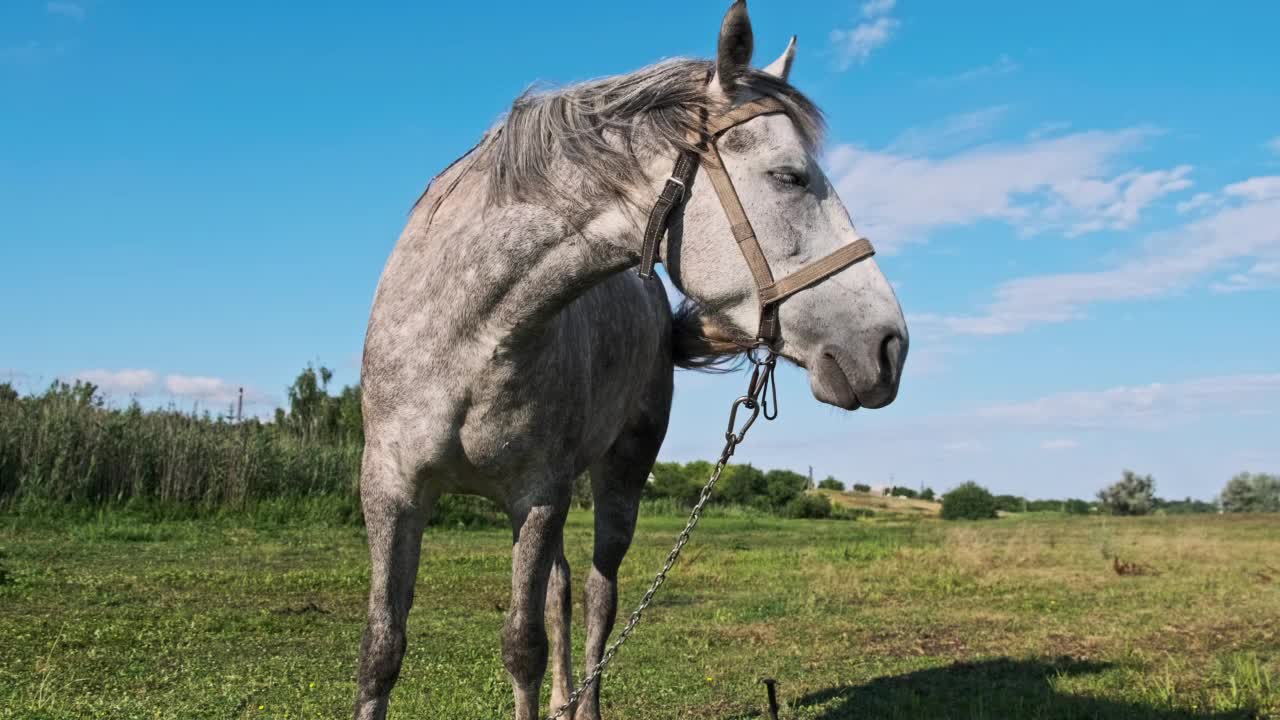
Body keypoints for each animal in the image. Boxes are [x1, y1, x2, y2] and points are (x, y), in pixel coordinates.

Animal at [355, 2, 906, 712]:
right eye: (789, 175)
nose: (888, 345)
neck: (471, 334)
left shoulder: (537, 496)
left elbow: (522, 647)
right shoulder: (391, 491)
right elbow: (382, 651)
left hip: (619, 475)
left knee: (599, 596)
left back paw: (583, 704)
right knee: (564, 591)